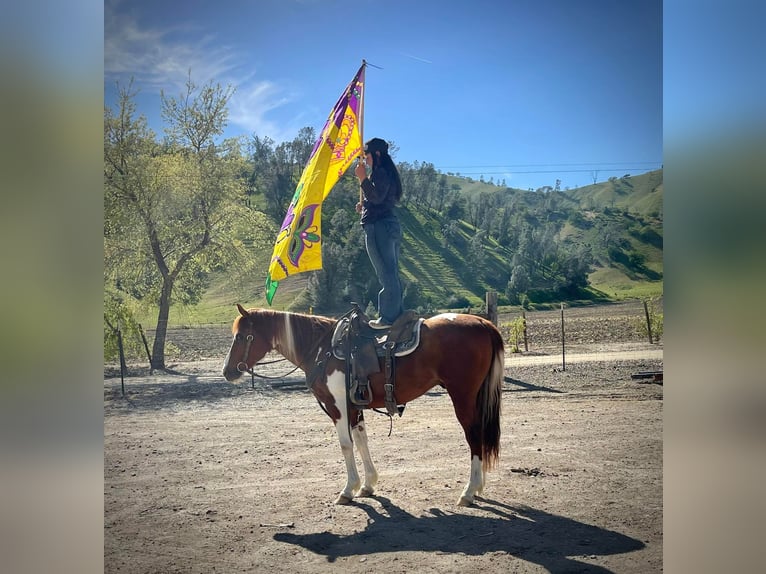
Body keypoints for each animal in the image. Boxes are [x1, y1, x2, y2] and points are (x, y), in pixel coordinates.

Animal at [220, 308, 504, 506]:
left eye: (242, 336)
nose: (227, 371)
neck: (322, 349)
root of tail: (483, 323)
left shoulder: (337, 407)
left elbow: (346, 445)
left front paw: (348, 489)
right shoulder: (355, 406)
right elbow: (361, 441)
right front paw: (368, 485)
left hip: (462, 396)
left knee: (473, 436)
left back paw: (469, 491)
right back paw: (478, 487)